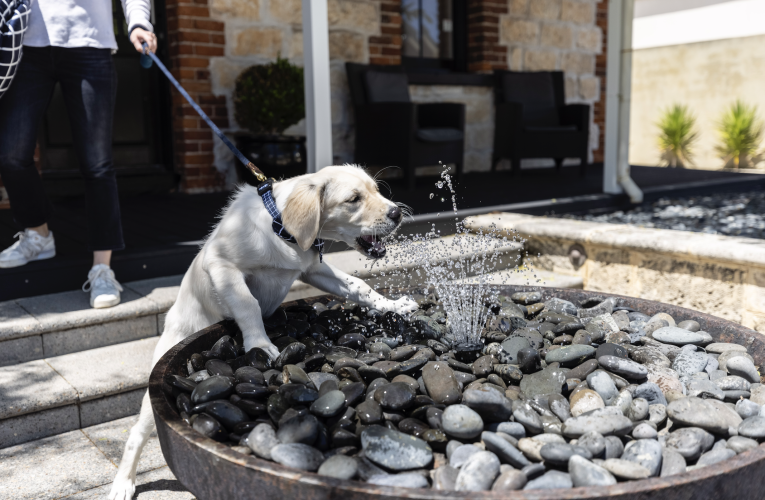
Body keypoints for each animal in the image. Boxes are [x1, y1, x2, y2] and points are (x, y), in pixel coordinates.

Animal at [108, 165, 418, 500]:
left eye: (376, 190)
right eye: (353, 199)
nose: (397, 213)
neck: (279, 227)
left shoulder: (314, 269)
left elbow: (359, 285)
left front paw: (393, 305)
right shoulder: (222, 265)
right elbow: (249, 304)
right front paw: (260, 343)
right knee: (137, 432)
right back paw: (123, 482)